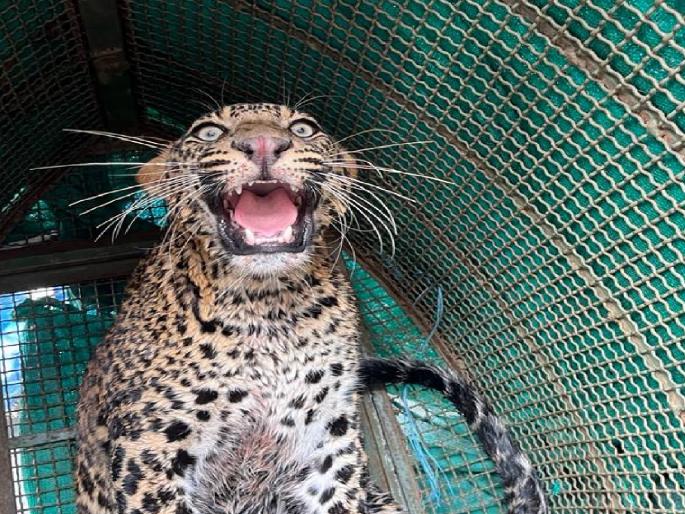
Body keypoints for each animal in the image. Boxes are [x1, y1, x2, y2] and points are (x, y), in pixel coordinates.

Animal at [75, 102, 548, 514]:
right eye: (208, 132)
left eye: (303, 128)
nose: (263, 143)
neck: (266, 308)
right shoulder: (151, 446)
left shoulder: (327, 443)